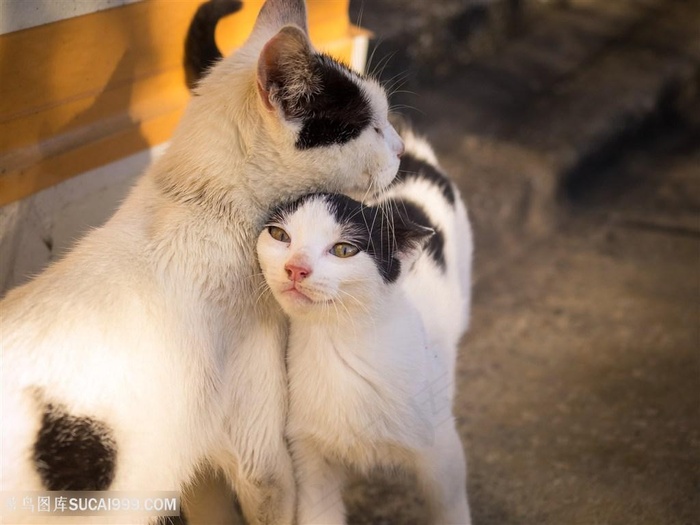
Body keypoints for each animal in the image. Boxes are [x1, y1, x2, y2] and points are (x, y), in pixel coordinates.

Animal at [254, 128, 474, 524]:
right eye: (279, 235)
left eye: (344, 250)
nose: (295, 268)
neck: (338, 340)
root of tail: (412, 153)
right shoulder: (309, 458)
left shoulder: (442, 453)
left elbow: (449, 508)